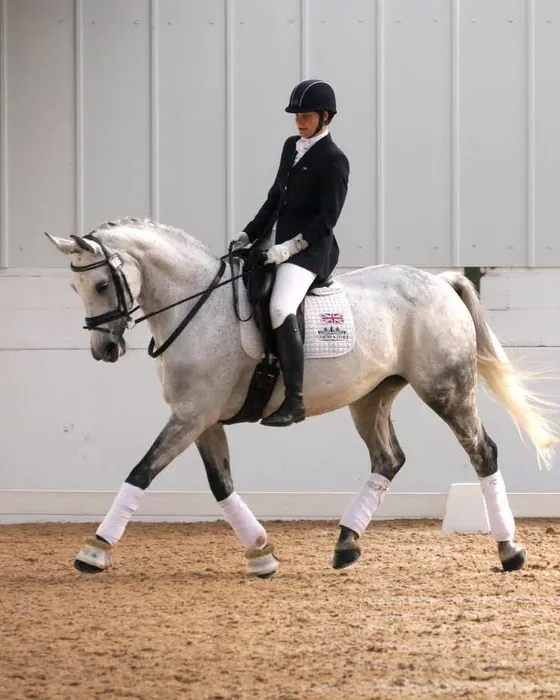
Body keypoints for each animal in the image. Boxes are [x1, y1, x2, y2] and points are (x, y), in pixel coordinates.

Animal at [45, 217, 558, 578]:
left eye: (102, 284)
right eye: (74, 286)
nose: (104, 349)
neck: (197, 308)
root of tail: (440, 281)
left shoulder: (192, 415)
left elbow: (141, 471)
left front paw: (94, 550)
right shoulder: (202, 419)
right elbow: (221, 485)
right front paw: (261, 554)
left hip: (446, 390)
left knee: (482, 452)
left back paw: (509, 549)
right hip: (370, 397)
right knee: (388, 458)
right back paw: (346, 544)